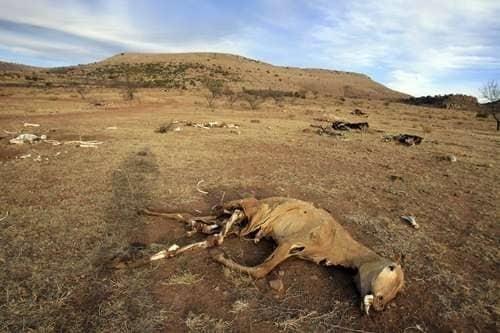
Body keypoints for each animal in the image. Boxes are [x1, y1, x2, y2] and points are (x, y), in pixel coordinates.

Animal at [141, 196, 402, 312]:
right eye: (392, 273)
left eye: (397, 292)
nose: (380, 307)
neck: (338, 244)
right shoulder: (289, 242)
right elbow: (261, 270)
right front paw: (218, 257)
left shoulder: (293, 250)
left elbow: (261, 268)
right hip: (246, 211)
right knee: (223, 214)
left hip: (233, 223)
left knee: (195, 220)